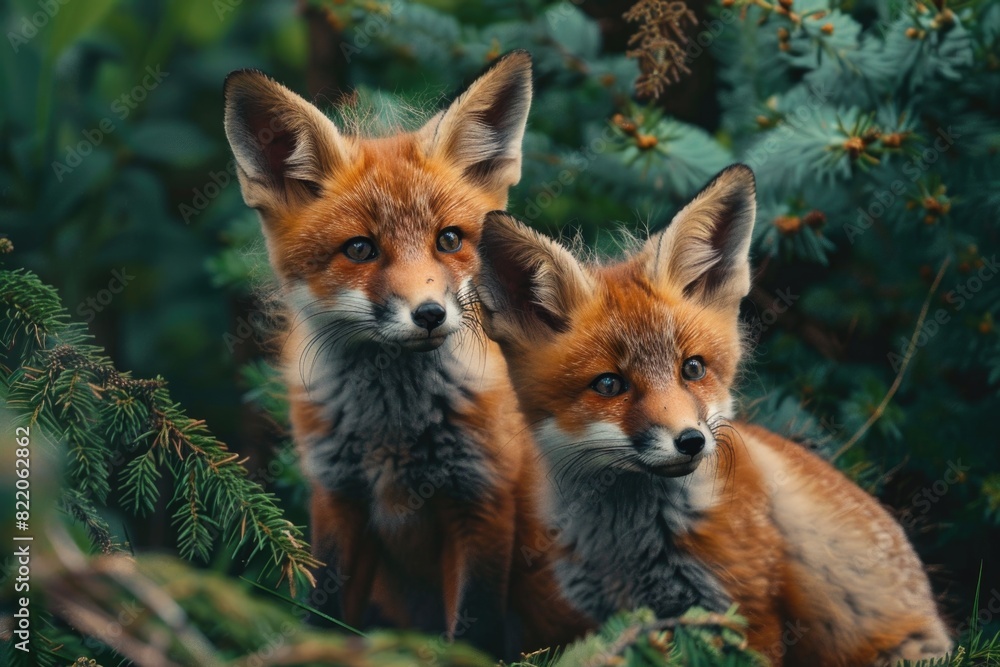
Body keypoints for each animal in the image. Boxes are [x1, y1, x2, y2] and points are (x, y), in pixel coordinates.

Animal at [222, 52, 587, 654]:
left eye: (449, 239)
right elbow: (323, 611)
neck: (391, 434)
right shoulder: (338, 499)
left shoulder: (482, 499)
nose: (430, 314)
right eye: (360, 249)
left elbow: (472, 628)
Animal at [474, 164, 953, 665]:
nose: (691, 440)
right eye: (608, 384)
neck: (629, 545)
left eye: (693, 368)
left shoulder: (747, 612)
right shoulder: (617, 617)